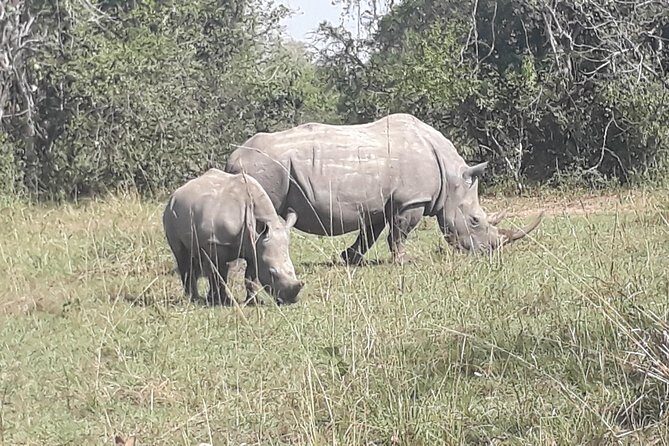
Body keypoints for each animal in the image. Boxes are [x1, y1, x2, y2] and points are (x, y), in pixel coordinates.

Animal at [162, 168, 303, 305]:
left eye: (292, 269)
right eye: (271, 272)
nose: (291, 300)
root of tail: (175, 194)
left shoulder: (255, 246)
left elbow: (250, 277)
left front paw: (253, 301)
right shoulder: (217, 242)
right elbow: (220, 274)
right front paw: (222, 301)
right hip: (170, 214)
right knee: (183, 257)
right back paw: (194, 299)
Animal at [225, 114, 542, 264]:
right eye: (475, 220)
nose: (489, 252)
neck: (452, 177)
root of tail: (234, 157)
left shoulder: (379, 201)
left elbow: (370, 233)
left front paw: (349, 259)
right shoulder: (411, 200)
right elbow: (399, 233)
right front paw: (404, 260)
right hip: (264, 169)